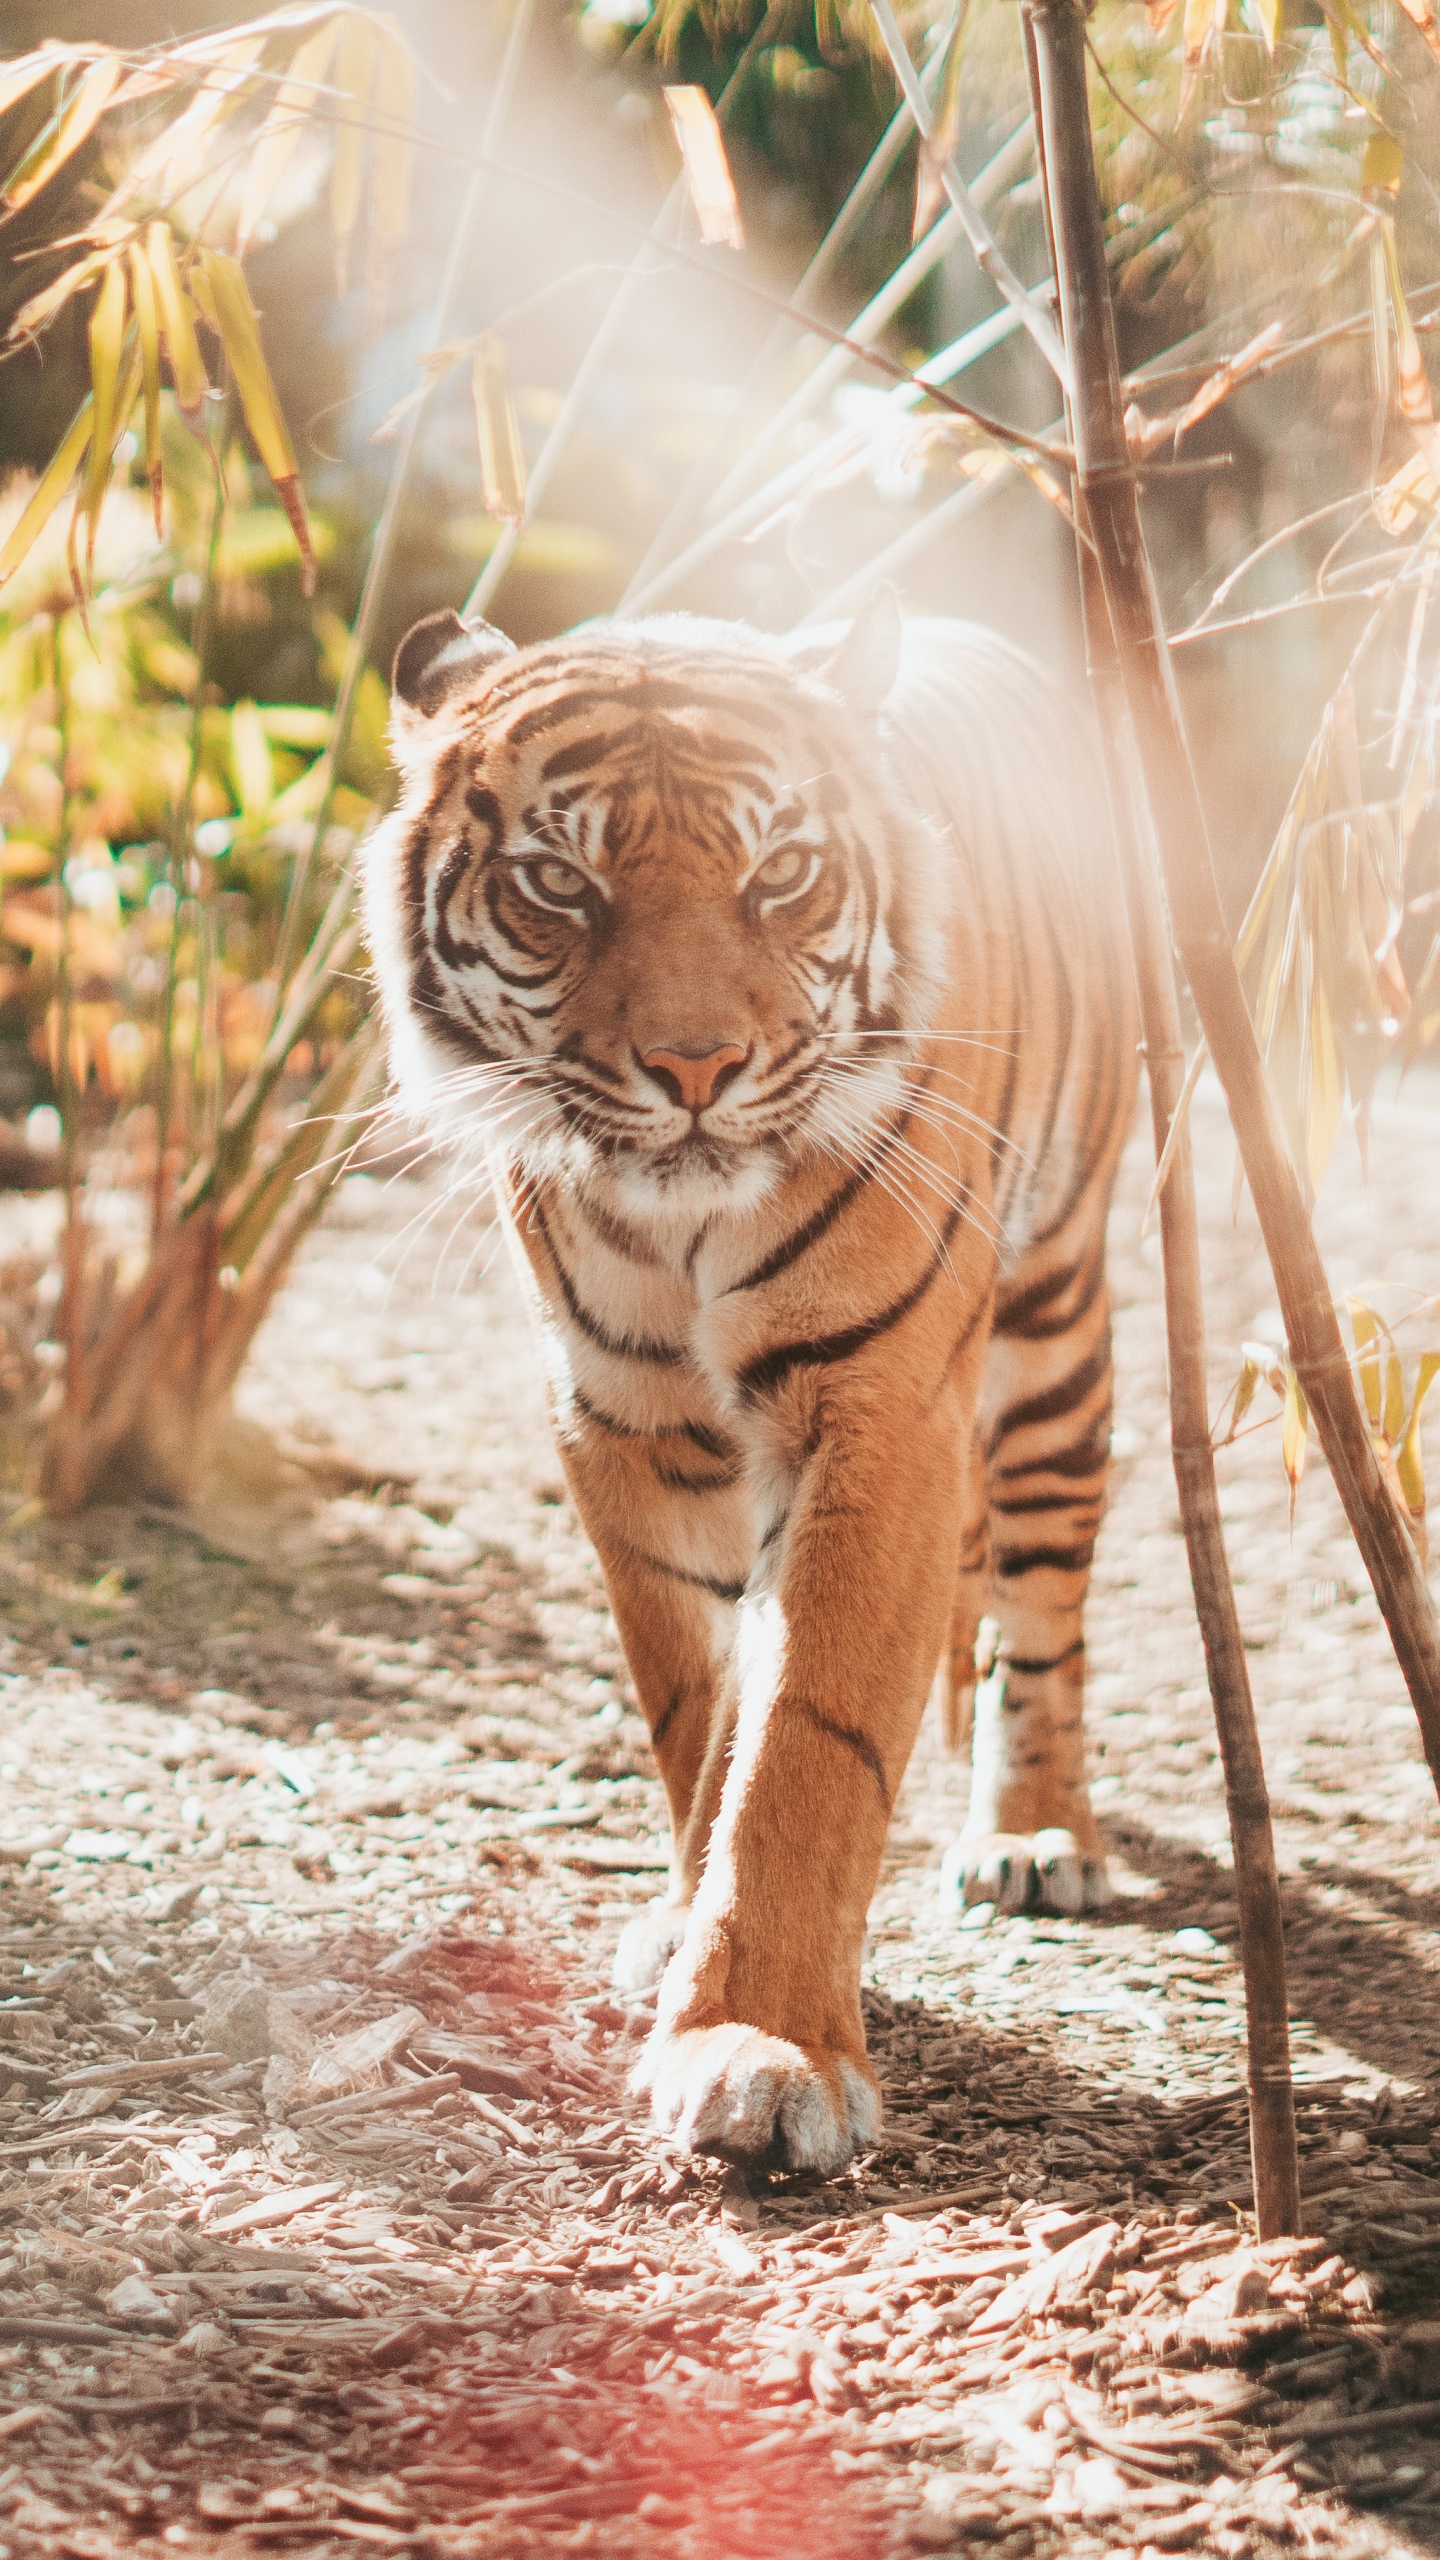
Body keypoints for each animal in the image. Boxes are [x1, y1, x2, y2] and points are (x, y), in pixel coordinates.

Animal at [363, 588, 1137, 2170]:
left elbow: (807, 1741)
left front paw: (763, 2049)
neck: (681, 1227)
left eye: (779, 874)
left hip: (1053, 1330)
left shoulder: (879, 1411)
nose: (696, 1067)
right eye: (559, 883)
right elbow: (699, 1712)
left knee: (1042, 1605)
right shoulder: (622, 1422)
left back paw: (1035, 1834)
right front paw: (684, 1929)